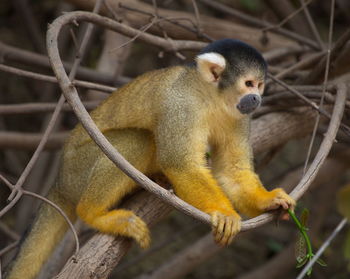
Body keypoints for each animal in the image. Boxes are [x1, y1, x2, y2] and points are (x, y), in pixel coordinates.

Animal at [6, 38, 296, 279]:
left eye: (260, 85)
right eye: (248, 84)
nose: (256, 98)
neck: (210, 97)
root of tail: (60, 180)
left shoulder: (239, 116)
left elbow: (231, 170)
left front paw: (269, 200)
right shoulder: (180, 107)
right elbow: (181, 164)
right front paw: (224, 213)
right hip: (78, 168)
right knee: (138, 140)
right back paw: (94, 213)